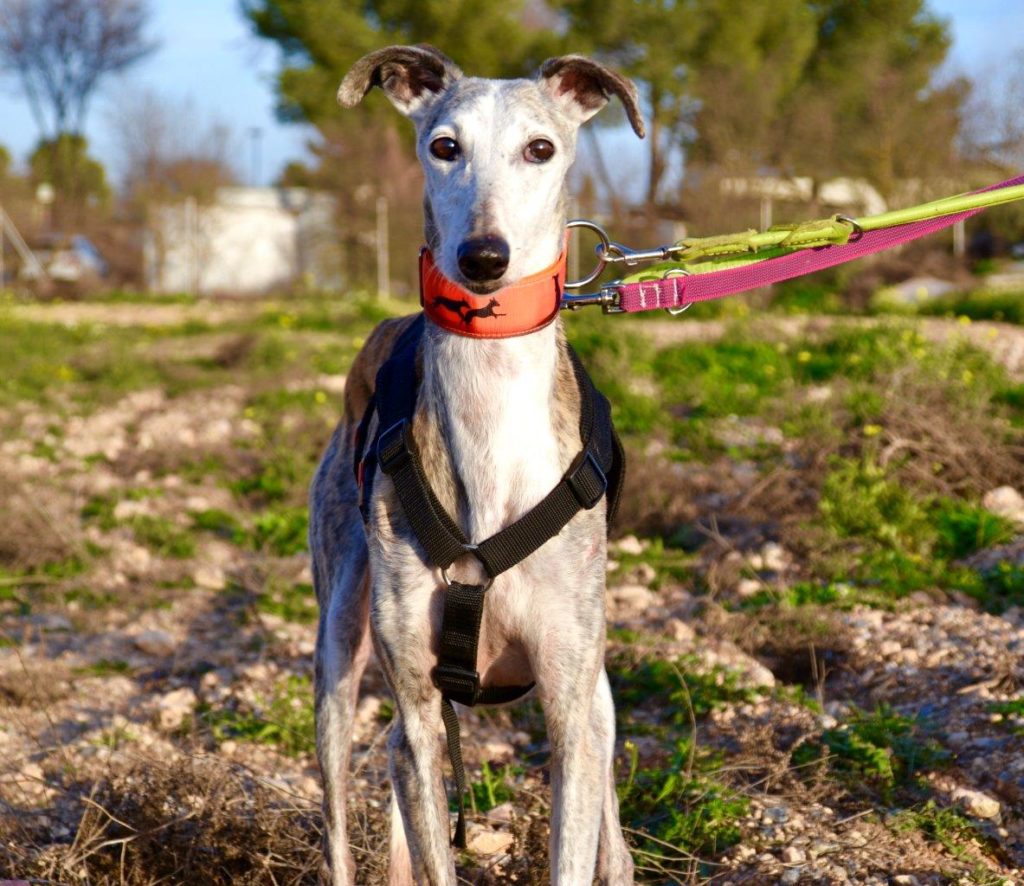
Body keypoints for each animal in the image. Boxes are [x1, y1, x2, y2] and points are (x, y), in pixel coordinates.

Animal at [311, 48, 643, 884]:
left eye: (541, 149)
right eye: (444, 146)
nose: (484, 259)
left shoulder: (570, 706)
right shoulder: (417, 718)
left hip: (599, 696)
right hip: (338, 659)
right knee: (345, 823)